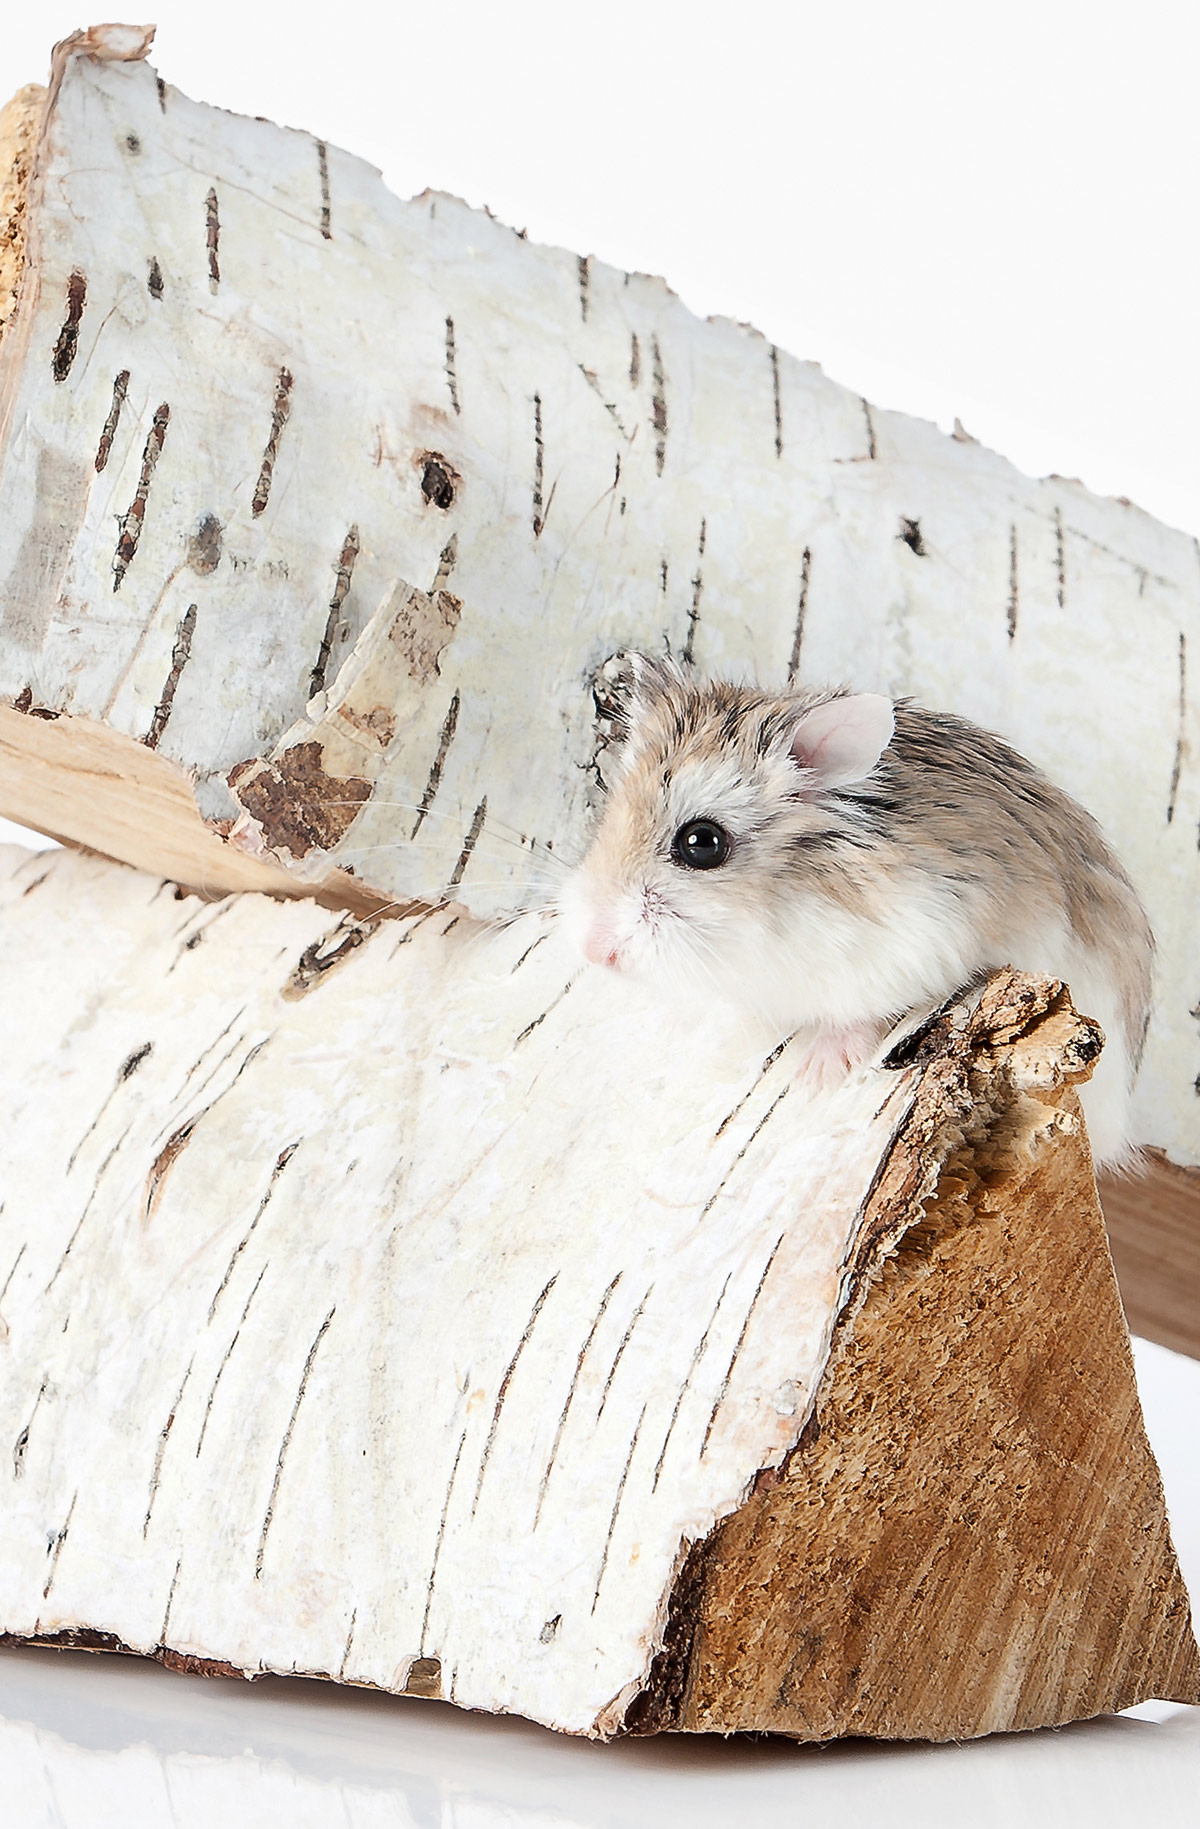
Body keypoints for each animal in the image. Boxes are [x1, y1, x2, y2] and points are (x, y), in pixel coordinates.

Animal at [559, 658, 1156, 1170]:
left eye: (701, 843)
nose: (591, 949)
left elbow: (861, 1015)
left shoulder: (917, 947)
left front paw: (817, 1075)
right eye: (609, 816)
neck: (769, 917)